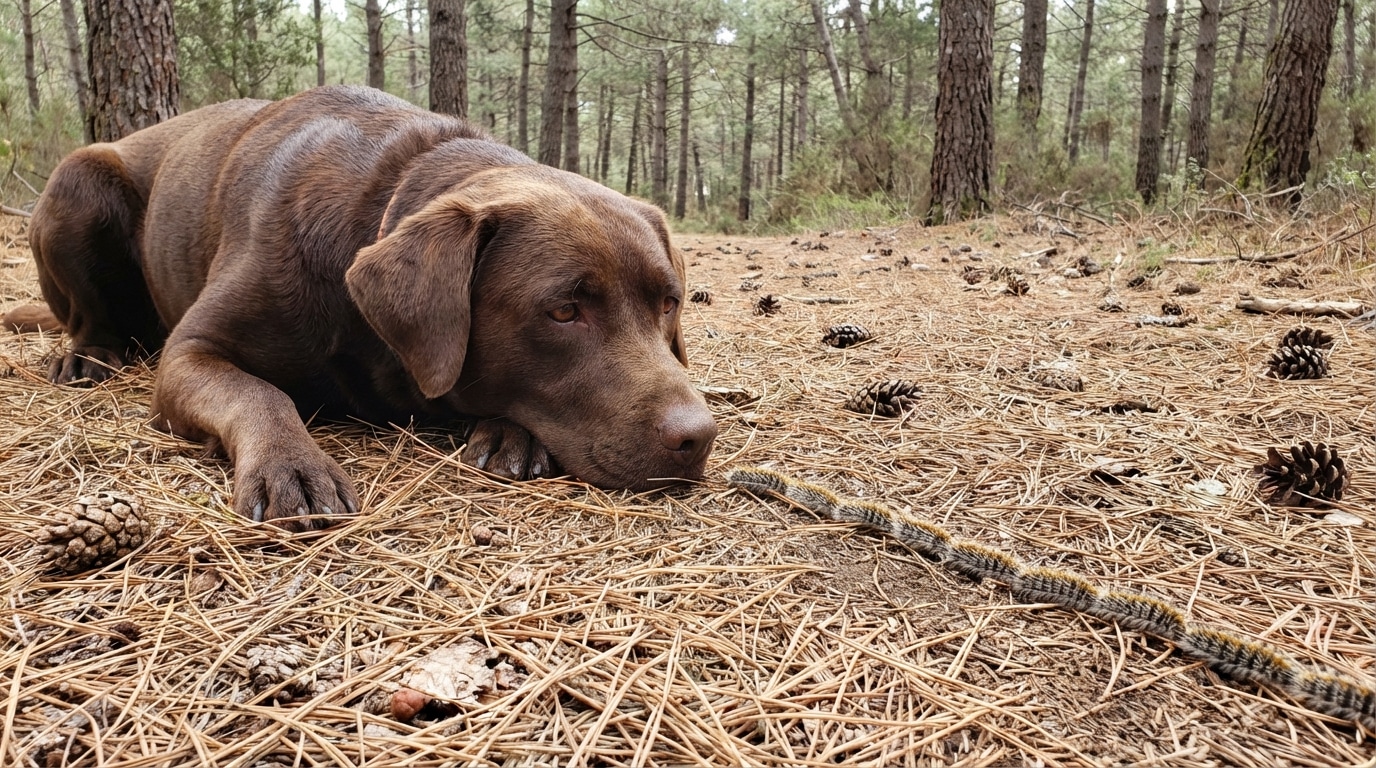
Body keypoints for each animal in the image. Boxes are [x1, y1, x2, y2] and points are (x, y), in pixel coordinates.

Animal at [20, 86, 718, 529]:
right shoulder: (189, 352)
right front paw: (292, 465)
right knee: (89, 316)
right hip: (78, 184)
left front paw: (508, 433)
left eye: (668, 304)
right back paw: (87, 355)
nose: (699, 436)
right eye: (565, 311)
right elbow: (257, 392)